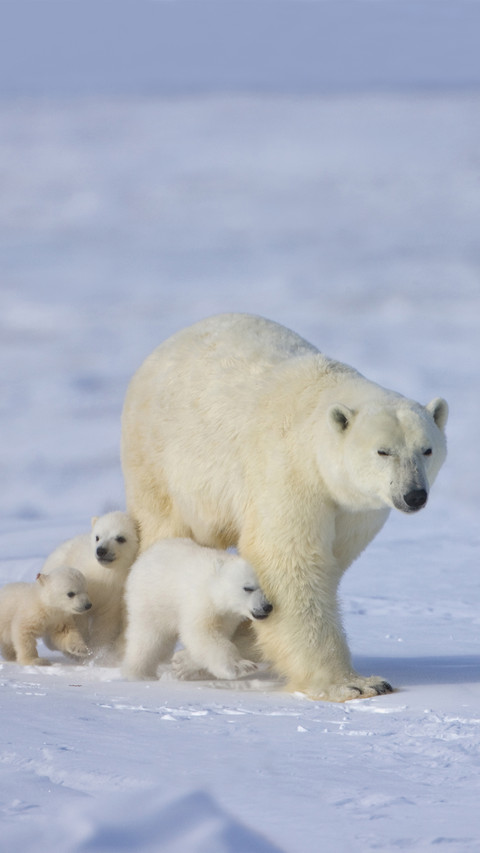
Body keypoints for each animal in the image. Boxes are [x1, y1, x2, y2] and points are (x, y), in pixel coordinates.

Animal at [42, 511, 139, 660]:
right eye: (97, 537)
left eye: (120, 538)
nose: (101, 551)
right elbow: (76, 614)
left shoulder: (114, 595)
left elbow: (105, 623)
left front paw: (97, 650)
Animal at [121, 537, 273, 681]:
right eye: (248, 588)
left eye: (267, 588)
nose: (266, 607)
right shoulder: (200, 601)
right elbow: (202, 632)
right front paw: (240, 666)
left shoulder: (228, 615)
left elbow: (219, 633)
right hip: (151, 599)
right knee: (148, 637)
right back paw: (140, 674)